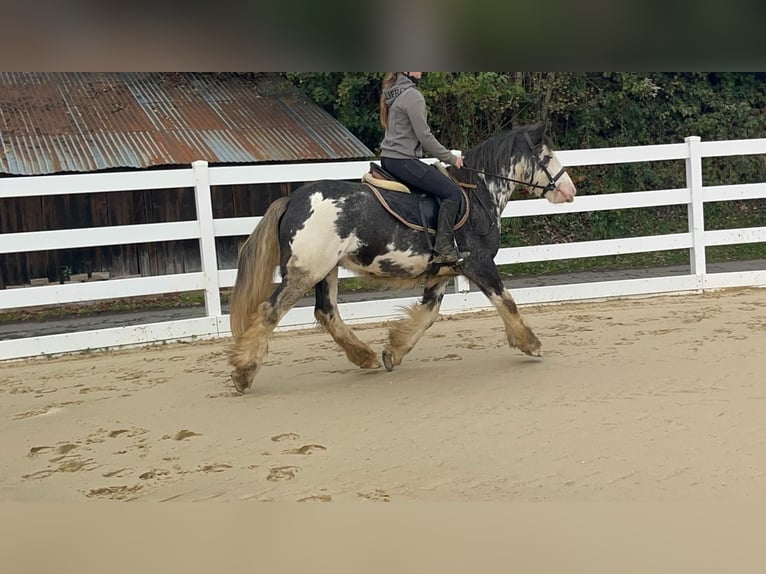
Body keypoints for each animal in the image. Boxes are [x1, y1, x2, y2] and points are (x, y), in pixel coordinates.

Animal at [227, 123, 577, 393]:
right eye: (547, 156)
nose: (569, 190)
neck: (476, 194)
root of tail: (292, 199)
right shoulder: (479, 264)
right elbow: (507, 301)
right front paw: (530, 343)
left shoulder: (442, 272)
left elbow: (427, 315)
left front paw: (393, 352)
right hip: (306, 272)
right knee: (271, 311)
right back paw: (244, 372)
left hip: (327, 271)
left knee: (327, 313)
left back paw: (364, 356)